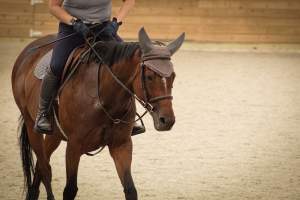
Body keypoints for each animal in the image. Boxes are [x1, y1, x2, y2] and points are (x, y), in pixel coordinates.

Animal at [11, 27, 184, 200]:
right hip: (31, 125)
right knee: (45, 168)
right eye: (149, 77)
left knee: (41, 165)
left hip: (54, 135)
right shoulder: (74, 146)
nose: (167, 120)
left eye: (173, 77)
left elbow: (130, 189)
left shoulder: (121, 145)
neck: (103, 97)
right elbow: (70, 189)